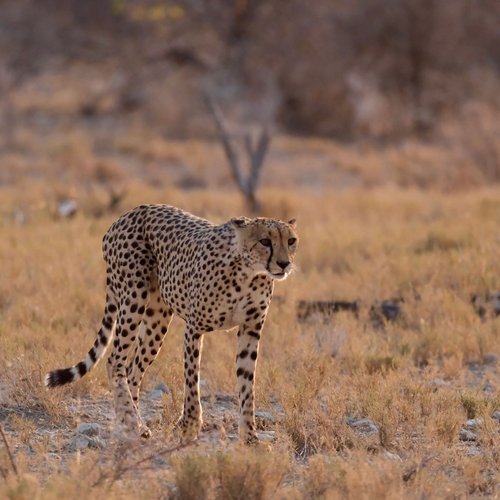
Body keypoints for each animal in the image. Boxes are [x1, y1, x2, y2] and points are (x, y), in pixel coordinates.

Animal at [45, 205, 298, 444]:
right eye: (265, 241)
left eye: (291, 241)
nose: (284, 263)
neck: (250, 273)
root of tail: (129, 213)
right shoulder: (194, 328)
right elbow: (192, 381)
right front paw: (190, 426)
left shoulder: (250, 330)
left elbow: (247, 386)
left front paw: (250, 438)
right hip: (133, 298)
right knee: (115, 361)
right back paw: (131, 421)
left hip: (157, 319)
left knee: (132, 369)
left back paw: (132, 425)